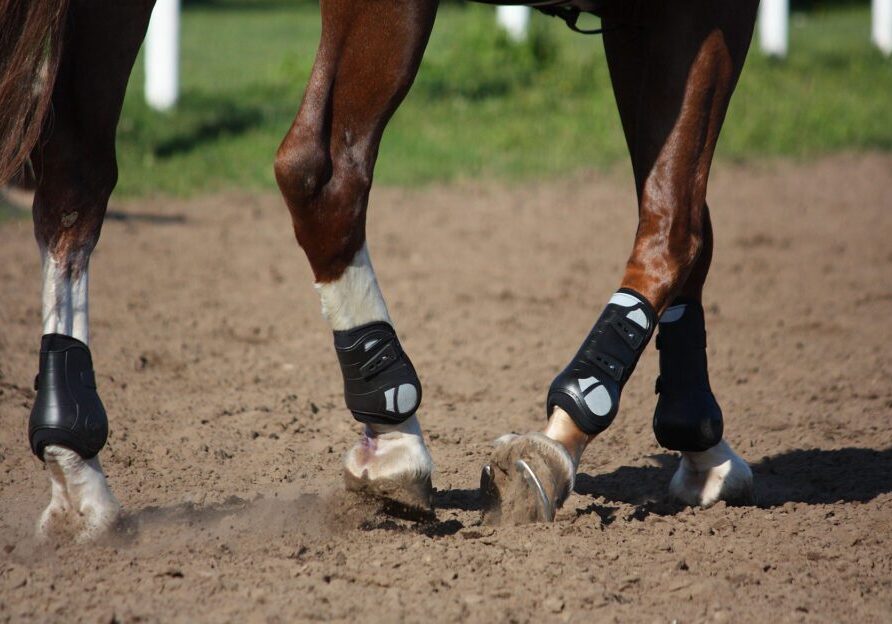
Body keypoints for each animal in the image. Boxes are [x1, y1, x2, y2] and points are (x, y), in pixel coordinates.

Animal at [1, 0, 758, 541]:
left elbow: (680, 215)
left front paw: (698, 439)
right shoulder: (705, 12)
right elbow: (678, 225)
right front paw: (567, 432)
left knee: (73, 185)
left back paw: (75, 466)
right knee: (322, 172)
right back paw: (394, 431)